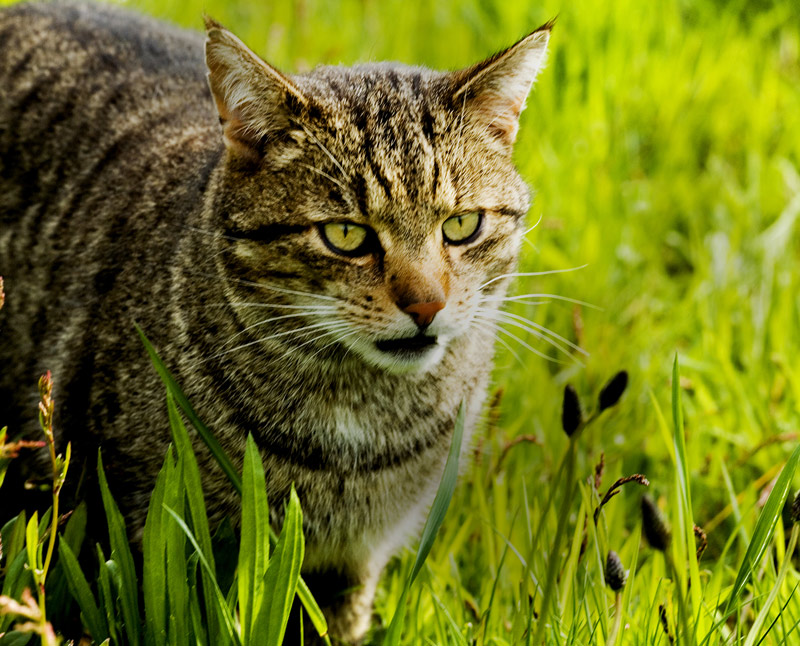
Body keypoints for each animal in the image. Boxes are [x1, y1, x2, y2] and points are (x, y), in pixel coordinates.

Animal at [0, 1, 552, 644]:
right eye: (346, 235)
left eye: (462, 225)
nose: (426, 305)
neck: (359, 428)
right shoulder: (128, 541)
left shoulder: (351, 567)